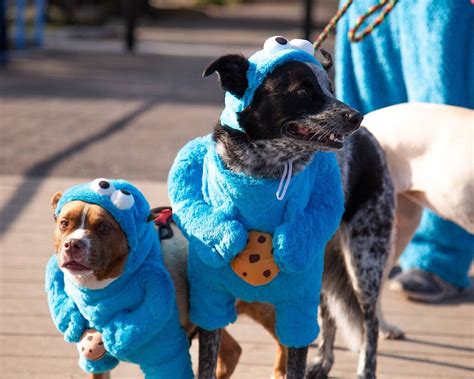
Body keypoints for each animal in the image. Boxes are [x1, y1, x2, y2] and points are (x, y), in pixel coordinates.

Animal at [167, 36, 396, 379]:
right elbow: (207, 363)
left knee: (370, 324)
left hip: (365, 263)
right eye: (303, 90)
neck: (262, 173)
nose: (357, 116)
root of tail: (372, 140)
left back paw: (365, 370)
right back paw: (324, 361)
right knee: (330, 315)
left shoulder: (298, 301)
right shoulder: (209, 298)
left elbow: (294, 359)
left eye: (330, 87)